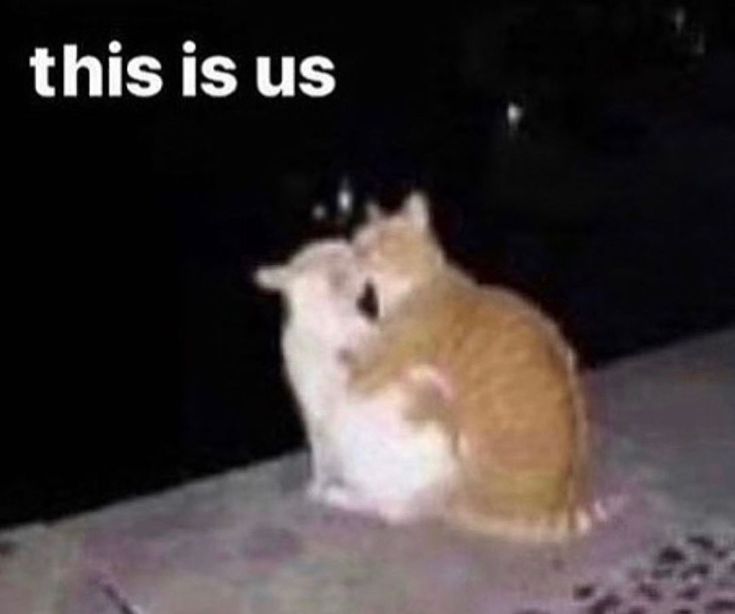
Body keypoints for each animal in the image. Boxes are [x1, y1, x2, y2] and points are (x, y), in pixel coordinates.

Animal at [256, 241, 458, 524]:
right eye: (340, 256)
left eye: (350, 249)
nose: (357, 253)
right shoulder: (316, 409)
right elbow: (321, 462)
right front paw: (317, 488)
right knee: (385, 507)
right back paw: (336, 494)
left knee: (388, 509)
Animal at [350, 194, 600, 544]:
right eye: (359, 241)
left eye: (384, 240)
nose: (358, 253)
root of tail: (557, 505)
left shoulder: (388, 359)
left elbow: (362, 372)